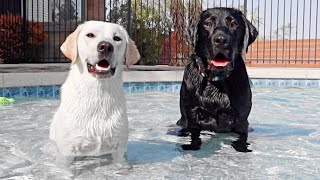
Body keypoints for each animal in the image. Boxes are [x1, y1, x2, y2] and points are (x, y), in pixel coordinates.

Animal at [49, 20, 139, 162]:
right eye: (90, 35)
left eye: (117, 38)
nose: (106, 46)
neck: (98, 91)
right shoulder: (67, 152)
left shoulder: (119, 149)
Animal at [176, 7, 258, 153]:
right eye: (207, 24)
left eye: (234, 24)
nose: (220, 40)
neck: (216, 81)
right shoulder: (192, 114)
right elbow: (194, 133)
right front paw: (192, 146)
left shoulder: (242, 119)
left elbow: (243, 135)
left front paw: (241, 147)